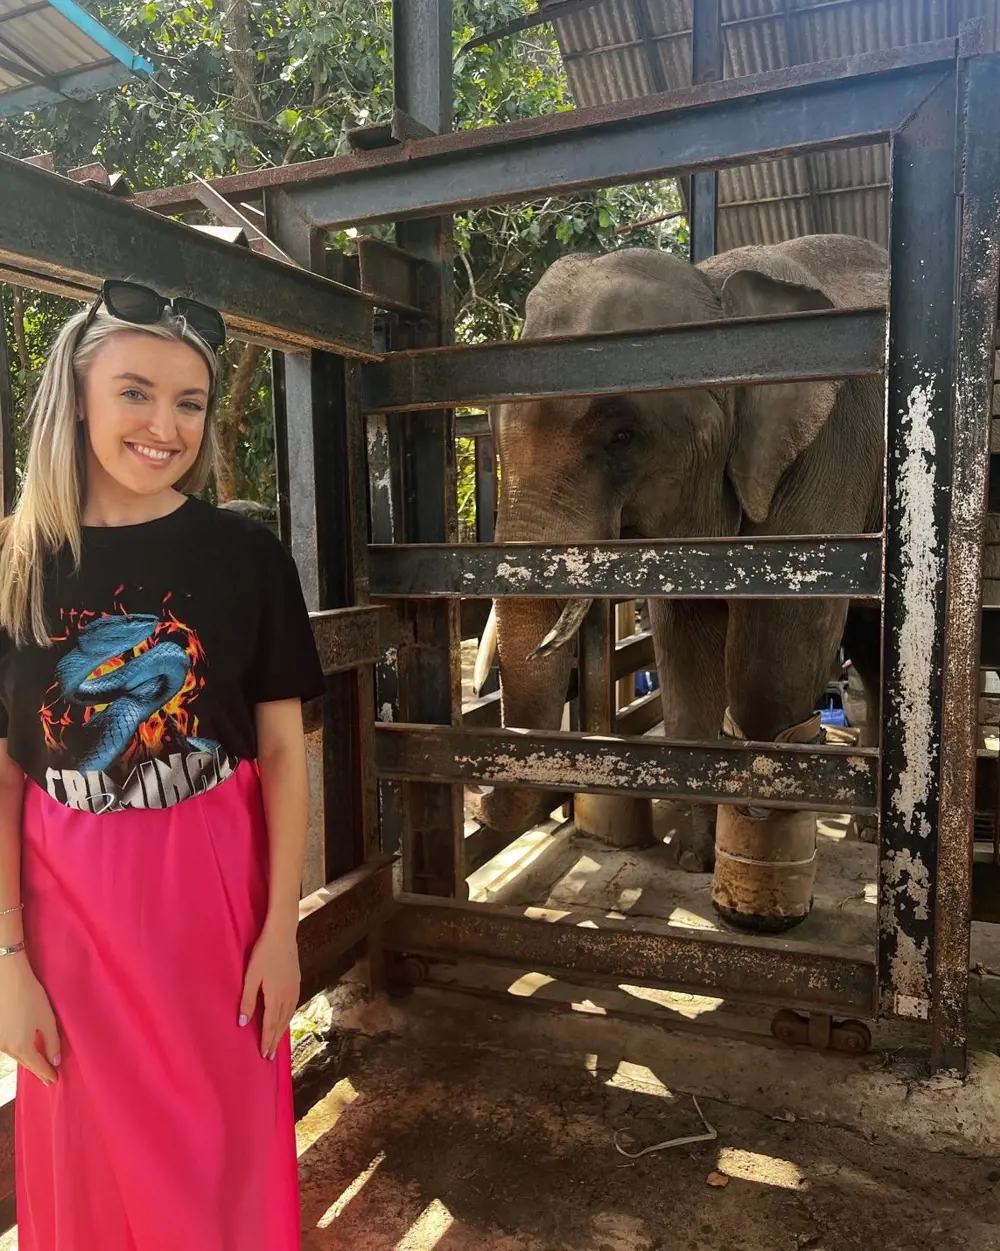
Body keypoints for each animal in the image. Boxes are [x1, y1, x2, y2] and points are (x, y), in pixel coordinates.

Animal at [473, 235, 886, 935]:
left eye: (622, 435)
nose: (474, 800)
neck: (716, 287)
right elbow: (686, 643)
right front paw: (695, 860)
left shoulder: (826, 451)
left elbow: (776, 650)